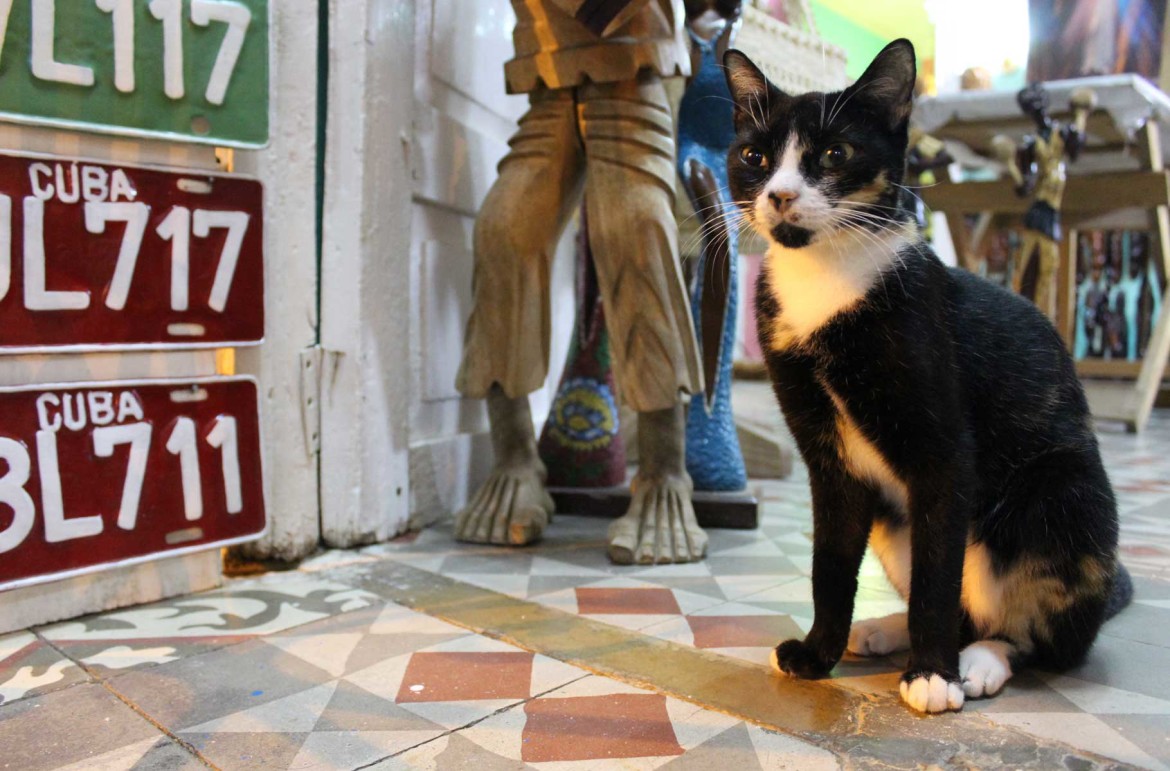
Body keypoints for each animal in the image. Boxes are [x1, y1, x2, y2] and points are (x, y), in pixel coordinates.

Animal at [725, 39, 1127, 716]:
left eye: (834, 153)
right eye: (755, 156)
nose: (779, 195)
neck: (827, 281)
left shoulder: (943, 451)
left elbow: (939, 575)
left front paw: (934, 675)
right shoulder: (827, 458)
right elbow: (831, 561)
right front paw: (817, 653)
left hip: (1064, 498)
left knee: (1039, 634)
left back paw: (980, 661)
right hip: (897, 522)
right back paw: (884, 631)